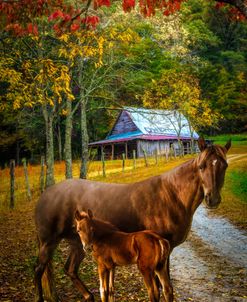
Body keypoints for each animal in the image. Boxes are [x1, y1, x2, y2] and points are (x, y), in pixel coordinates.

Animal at [34, 138, 232, 300]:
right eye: (202, 166)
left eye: (224, 166)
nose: (213, 198)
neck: (171, 195)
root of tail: (45, 195)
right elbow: (159, 289)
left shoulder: (165, 253)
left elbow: (167, 289)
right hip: (49, 242)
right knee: (38, 271)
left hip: (78, 244)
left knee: (70, 269)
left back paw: (88, 296)